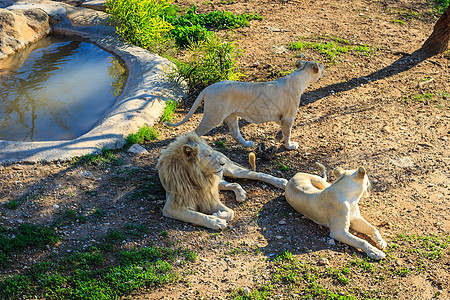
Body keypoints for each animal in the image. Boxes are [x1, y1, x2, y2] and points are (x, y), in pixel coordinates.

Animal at [156, 132, 286, 230]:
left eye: (211, 153)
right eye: (208, 155)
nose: (222, 163)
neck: (199, 178)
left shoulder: (209, 197)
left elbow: (230, 212)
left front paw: (218, 215)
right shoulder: (172, 207)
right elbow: (195, 215)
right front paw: (217, 221)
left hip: (232, 171)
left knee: (256, 174)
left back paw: (281, 182)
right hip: (219, 181)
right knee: (234, 183)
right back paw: (241, 194)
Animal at [164, 60, 324, 150]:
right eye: (321, 66)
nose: (324, 66)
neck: (300, 78)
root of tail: (208, 88)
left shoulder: (282, 117)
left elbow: (283, 131)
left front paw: (278, 137)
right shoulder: (288, 117)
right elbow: (288, 133)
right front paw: (289, 146)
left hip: (230, 115)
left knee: (235, 133)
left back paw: (247, 144)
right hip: (213, 115)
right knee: (195, 132)